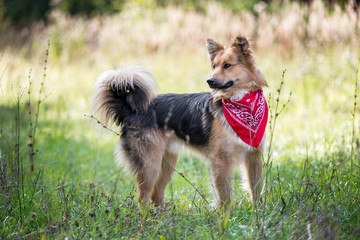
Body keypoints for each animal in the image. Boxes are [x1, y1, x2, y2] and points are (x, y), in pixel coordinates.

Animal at [91, 35, 268, 210]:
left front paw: (259, 212)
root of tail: (131, 110)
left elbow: (256, 188)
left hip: (167, 162)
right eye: (214, 66)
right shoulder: (221, 160)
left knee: (156, 194)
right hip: (149, 164)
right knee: (143, 197)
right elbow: (224, 197)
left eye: (227, 65)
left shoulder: (254, 155)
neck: (243, 103)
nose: (209, 81)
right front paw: (225, 216)